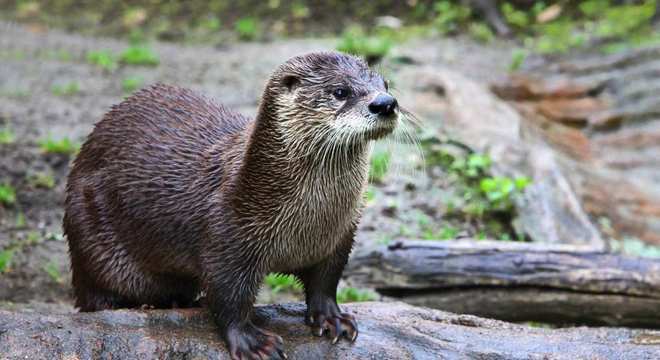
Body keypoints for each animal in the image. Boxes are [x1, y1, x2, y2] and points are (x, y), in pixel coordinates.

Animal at [64, 51, 400, 360]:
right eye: (340, 91)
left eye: (385, 84)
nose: (385, 103)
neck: (309, 223)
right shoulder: (226, 236)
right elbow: (228, 297)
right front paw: (253, 342)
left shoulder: (340, 236)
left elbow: (326, 282)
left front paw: (332, 317)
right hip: (89, 238)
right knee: (94, 296)